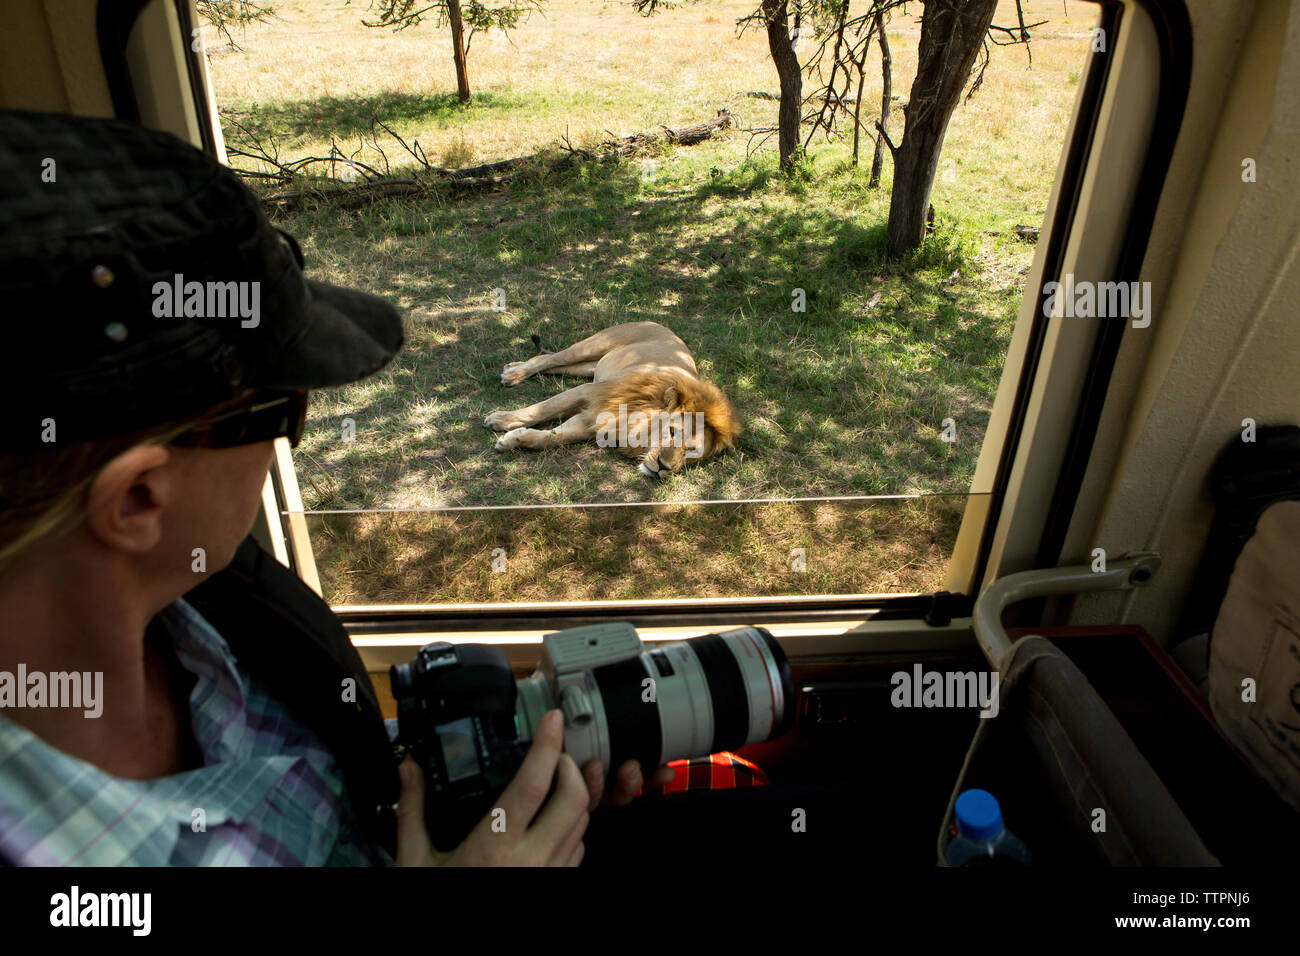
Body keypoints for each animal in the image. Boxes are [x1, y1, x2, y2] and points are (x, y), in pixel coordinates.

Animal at [483, 323, 743, 476]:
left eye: (690, 452)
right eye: (671, 431)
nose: (663, 467)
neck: (640, 429)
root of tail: (667, 328)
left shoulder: (592, 422)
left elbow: (553, 438)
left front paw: (513, 440)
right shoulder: (590, 392)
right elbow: (543, 408)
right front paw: (500, 420)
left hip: (591, 366)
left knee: (554, 364)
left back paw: (512, 368)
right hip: (594, 345)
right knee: (550, 358)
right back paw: (513, 374)